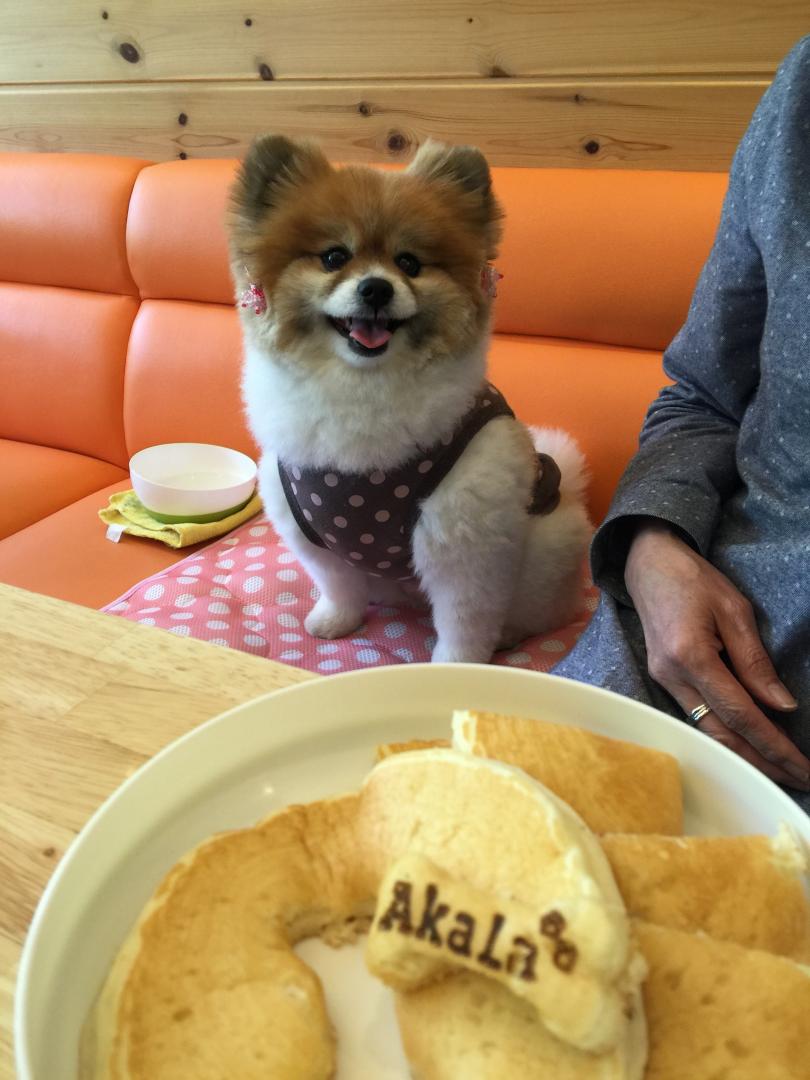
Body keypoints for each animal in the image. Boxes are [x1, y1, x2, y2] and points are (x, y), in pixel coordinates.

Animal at [228, 131, 591, 660]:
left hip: (539, 554)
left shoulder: (466, 544)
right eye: (334, 257)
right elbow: (338, 585)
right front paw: (337, 620)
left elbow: (465, 624)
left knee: (540, 612)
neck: (362, 387)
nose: (376, 288)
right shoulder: (311, 533)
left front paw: (459, 665)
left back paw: (510, 635)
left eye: (409, 263)